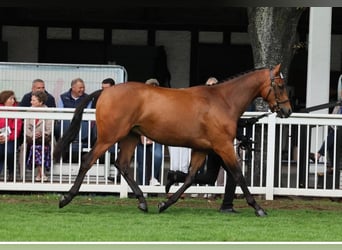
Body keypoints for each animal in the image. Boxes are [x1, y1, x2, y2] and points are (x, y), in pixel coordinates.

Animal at [53, 64, 292, 217]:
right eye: (280, 85)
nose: (287, 111)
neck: (223, 101)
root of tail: (106, 92)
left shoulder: (201, 149)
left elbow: (190, 178)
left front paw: (164, 202)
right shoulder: (223, 146)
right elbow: (238, 175)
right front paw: (259, 208)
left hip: (131, 136)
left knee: (122, 165)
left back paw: (143, 202)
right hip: (109, 136)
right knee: (88, 161)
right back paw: (65, 198)